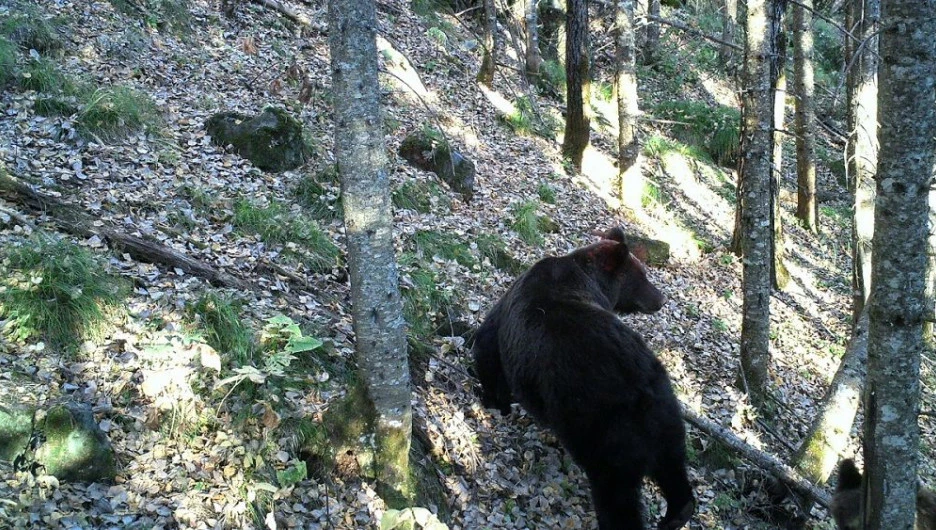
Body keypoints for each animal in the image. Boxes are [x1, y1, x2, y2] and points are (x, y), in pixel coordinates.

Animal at [472, 227, 692, 528]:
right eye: (643, 276)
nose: (661, 300)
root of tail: (641, 389)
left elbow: (488, 341)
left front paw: (494, 400)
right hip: (665, 410)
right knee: (673, 463)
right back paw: (676, 514)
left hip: (601, 426)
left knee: (616, 492)